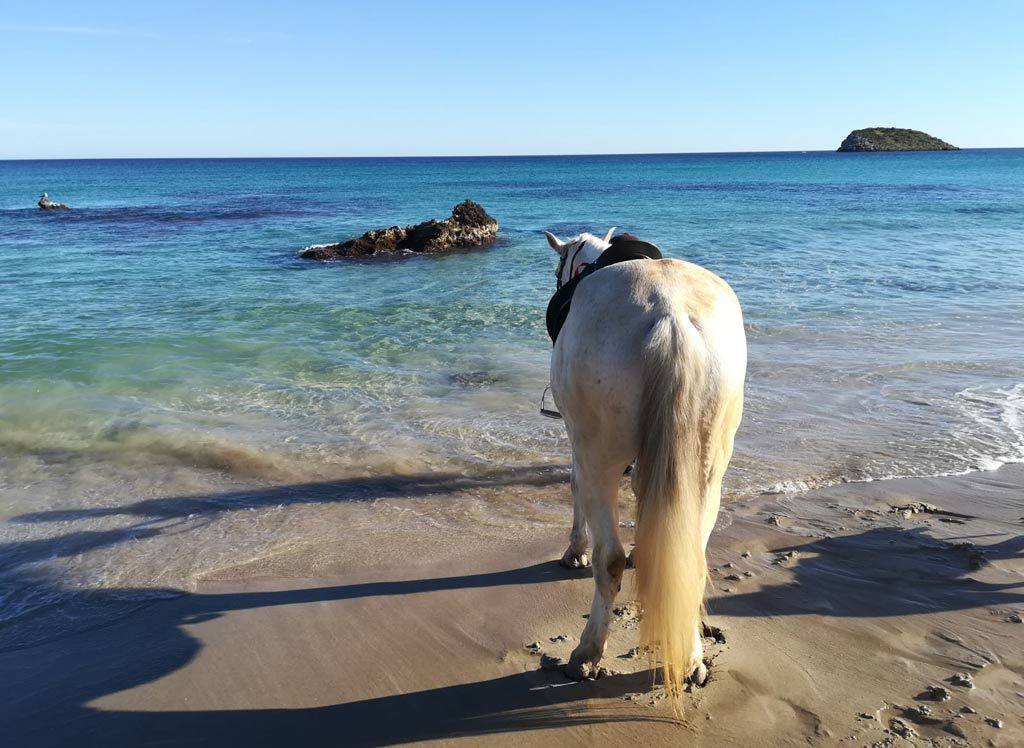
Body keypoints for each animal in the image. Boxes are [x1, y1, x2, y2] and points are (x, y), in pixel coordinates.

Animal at [544, 228, 746, 702]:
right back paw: (691, 658)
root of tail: (671, 316)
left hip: (598, 454)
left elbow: (574, 489)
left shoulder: (578, 444)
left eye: (558, 265)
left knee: (609, 560)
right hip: (707, 467)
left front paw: (574, 551)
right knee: (691, 557)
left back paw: (586, 654)